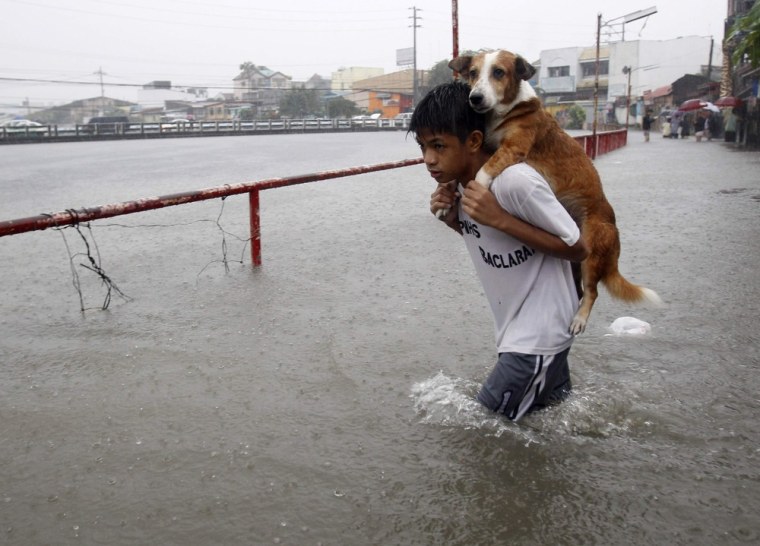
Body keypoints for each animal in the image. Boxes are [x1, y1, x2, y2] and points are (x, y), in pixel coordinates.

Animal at [452, 51, 660, 334]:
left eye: (498, 72)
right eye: (473, 73)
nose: (475, 98)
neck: (506, 111)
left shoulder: (513, 148)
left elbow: (485, 170)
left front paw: (477, 188)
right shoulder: (488, 142)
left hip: (591, 254)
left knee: (593, 292)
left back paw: (579, 319)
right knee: (581, 289)